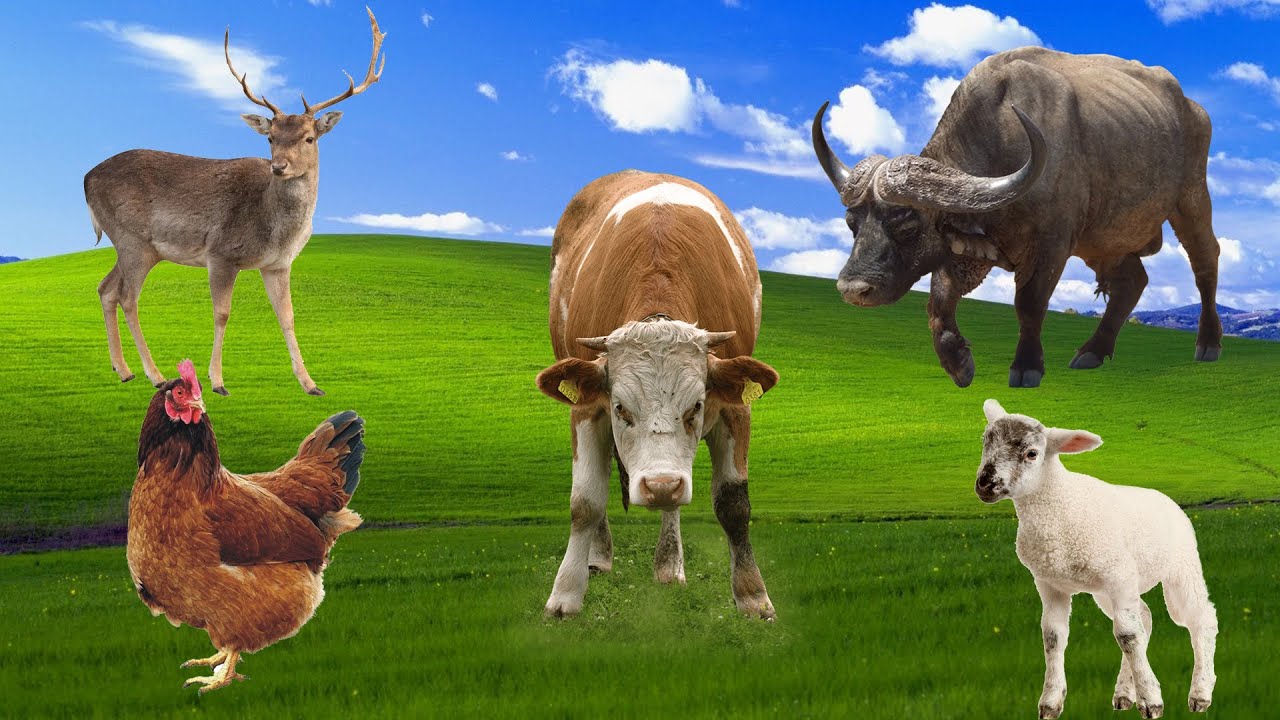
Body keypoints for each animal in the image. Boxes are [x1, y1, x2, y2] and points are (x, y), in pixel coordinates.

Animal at [535, 170, 780, 620]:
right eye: (620, 408)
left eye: (696, 406)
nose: (661, 485)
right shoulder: (587, 409)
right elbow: (585, 502)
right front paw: (565, 594)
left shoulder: (735, 409)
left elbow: (734, 504)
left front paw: (753, 596)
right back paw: (599, 556)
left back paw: (669, 564)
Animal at [811, 47, 1223, 388]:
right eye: (852, 224)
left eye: (907, 224)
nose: (853, 289)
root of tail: (1193, 108)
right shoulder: (963, 251)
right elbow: (938, 305)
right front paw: (959, 364)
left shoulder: (1051, 245)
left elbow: (1028, 304)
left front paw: (1027, 367)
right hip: (1104, 238)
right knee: (1133, 280)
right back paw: (1093, 350)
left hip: (1191, 201)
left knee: (1205, 262)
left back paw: (1208, 344)